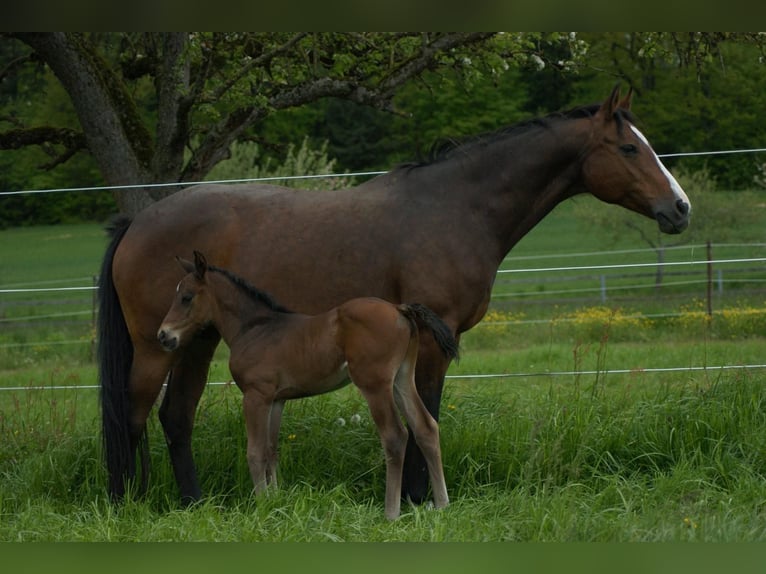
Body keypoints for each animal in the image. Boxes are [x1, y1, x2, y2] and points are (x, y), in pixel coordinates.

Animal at [156, 252, 456, 520]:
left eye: (186, 297)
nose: (163, 335)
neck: (254, 329)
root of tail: (399, 309)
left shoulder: (255, 395)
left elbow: (254, 451)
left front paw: (261, 505)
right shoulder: (276, 399)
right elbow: (270, 449)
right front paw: (276, 501)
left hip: (375, 384)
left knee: (395, 436)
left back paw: (390, 513)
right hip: (402, 379)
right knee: (426, 427)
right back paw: (442, 504)